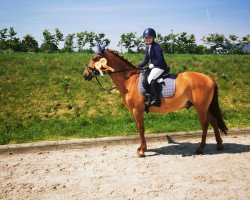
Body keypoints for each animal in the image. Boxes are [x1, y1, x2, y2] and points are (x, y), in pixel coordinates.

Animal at [83, 44, 228, 157]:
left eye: (95, 58)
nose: (85, 75)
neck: (130, 80)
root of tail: (209, 78)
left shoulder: (137, 110)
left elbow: (141, 129)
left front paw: (142, 151)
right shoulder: (134, 111)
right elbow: (138, 129)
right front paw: (141, 148)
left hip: (200, 107)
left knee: (205, 124)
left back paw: (200, 148)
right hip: (204, 107)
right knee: (214, 121)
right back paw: (219, 145)